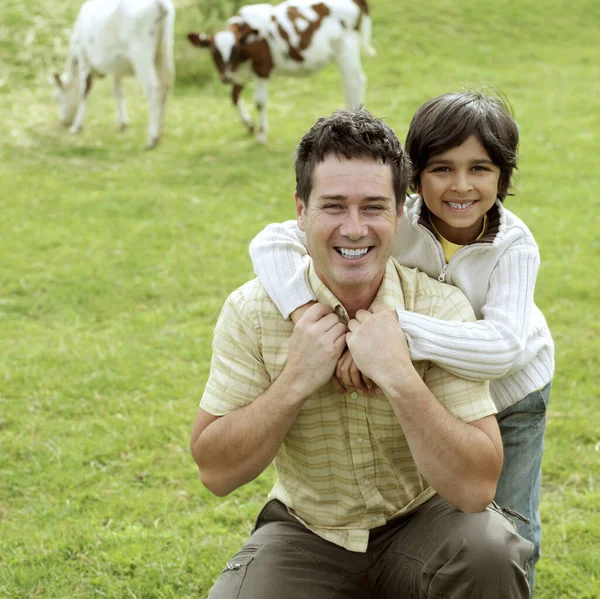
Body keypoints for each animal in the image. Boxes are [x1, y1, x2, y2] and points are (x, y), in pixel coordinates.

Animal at [51, 0, 175, 149]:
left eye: (57, 98)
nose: (64, 122)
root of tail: (159, 3)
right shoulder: (117, 67)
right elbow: (118, 92)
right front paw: (122, 123)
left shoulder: (83, 59)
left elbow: (84, 92)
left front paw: (76, 126)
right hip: (164, 51)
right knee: (166, 86)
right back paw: (160, 134)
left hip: (140, 54)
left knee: (154, 88)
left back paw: (152, 139)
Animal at [188, 0, 376, 144]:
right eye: (213, 51)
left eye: (234, 49)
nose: (225, 77)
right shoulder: (241, 73)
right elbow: (234, 97)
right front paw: (249, 125)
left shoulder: (262, 69)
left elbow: (260, 102)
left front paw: (261, 135)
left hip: (346, 48)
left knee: (354, 82)